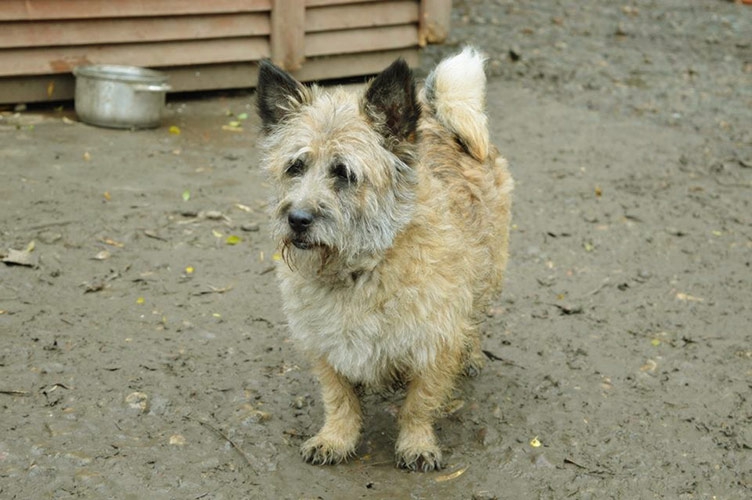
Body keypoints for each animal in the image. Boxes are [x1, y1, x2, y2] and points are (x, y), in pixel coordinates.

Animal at [256, 47, 513, 471]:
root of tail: (437, 113)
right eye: (295, 166)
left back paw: (471, 353)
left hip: (488, 272)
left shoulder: (435, 341)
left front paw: (416, 443)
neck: (360, 269)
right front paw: (335, 438)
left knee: (474, 315)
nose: (297, 219)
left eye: (344, 173)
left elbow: (419, 403)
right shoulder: (322, 343)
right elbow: (338, 398)